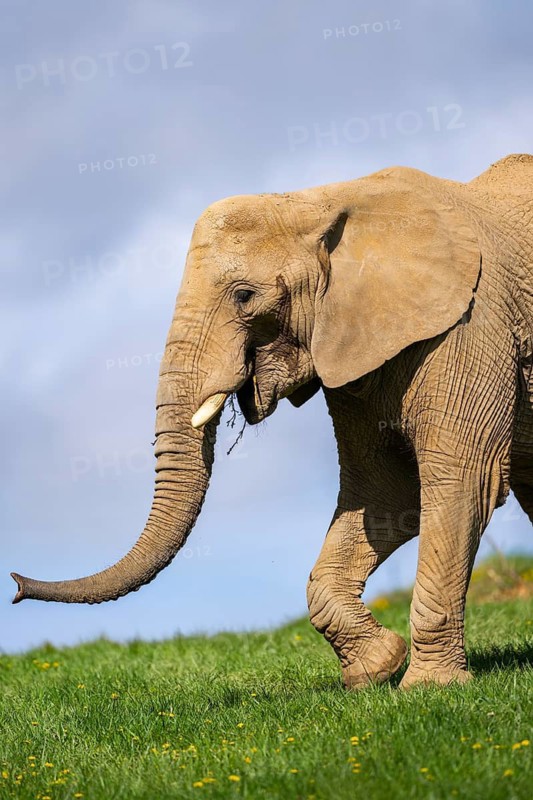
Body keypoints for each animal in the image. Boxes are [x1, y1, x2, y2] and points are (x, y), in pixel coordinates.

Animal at [11, 153, 533, 689]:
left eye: (244, 296)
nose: (15, 583)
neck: (321, 199)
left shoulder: (473, 322)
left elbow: (462, 478)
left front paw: (429, 688)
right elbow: (388, 491)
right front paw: (375, 670)